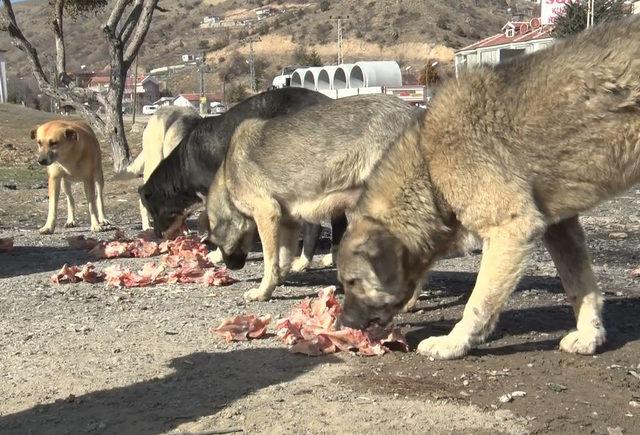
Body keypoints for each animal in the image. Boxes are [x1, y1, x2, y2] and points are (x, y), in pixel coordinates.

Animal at [141, 87, 344, 268]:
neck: (185, 164)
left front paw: (218, 254)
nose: (156, 236)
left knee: (315, 225)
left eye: (153, 211)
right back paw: (332, 257)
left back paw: (303, 262)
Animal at [206, 94, 424, 302]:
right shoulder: (288, 222)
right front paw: (277, 281)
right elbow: (282, 259)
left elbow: (270, 261)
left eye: (216, 240)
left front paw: (262, 291)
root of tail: (414, 113)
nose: (231, 267)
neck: (227, 175)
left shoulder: (266, 214)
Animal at [338, 16, 640, 362]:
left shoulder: (512, 229)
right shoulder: (561, 229)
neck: (429, 165)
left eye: (353, 282)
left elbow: (477, 304)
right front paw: (591, 334)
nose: (343, 322)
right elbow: (581, 286)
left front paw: (454, 343)